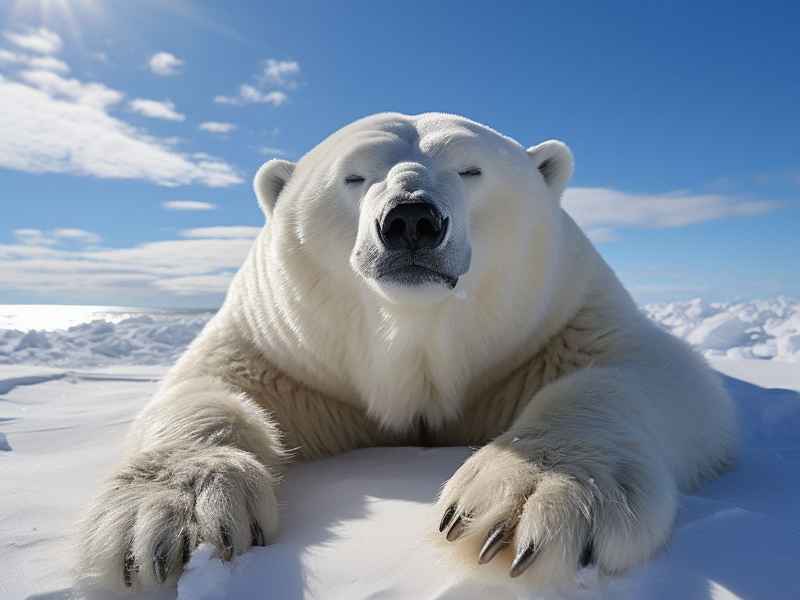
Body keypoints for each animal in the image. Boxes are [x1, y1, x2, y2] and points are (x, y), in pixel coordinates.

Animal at [78, 112, 737, 591]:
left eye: (471, 169)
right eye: (354, 176)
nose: (412, 219)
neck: (418, 337)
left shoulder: (556, 322)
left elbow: (648, 371)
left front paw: (526, 502)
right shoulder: (291, 354)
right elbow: (208, 388)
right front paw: (170, 525)